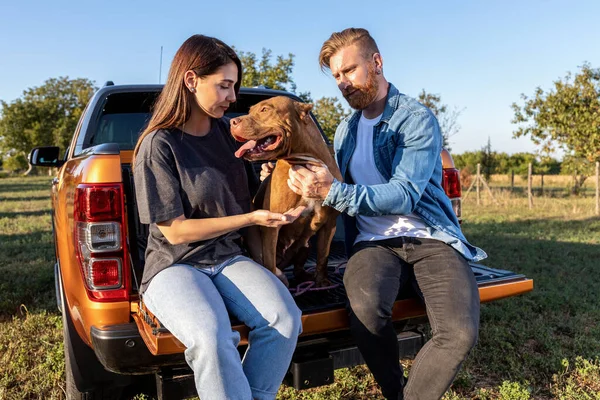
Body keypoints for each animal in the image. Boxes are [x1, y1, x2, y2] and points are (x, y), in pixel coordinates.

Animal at [230, 97, 342, 288]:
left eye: (265, 109)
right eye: (251, 111)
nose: (232, 121)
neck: (304, 159)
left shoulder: (330, 224)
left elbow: (323, 256)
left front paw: (322, 281)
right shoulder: (272, 226)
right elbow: (269, 262)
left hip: (305, 246)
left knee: (299, 264)